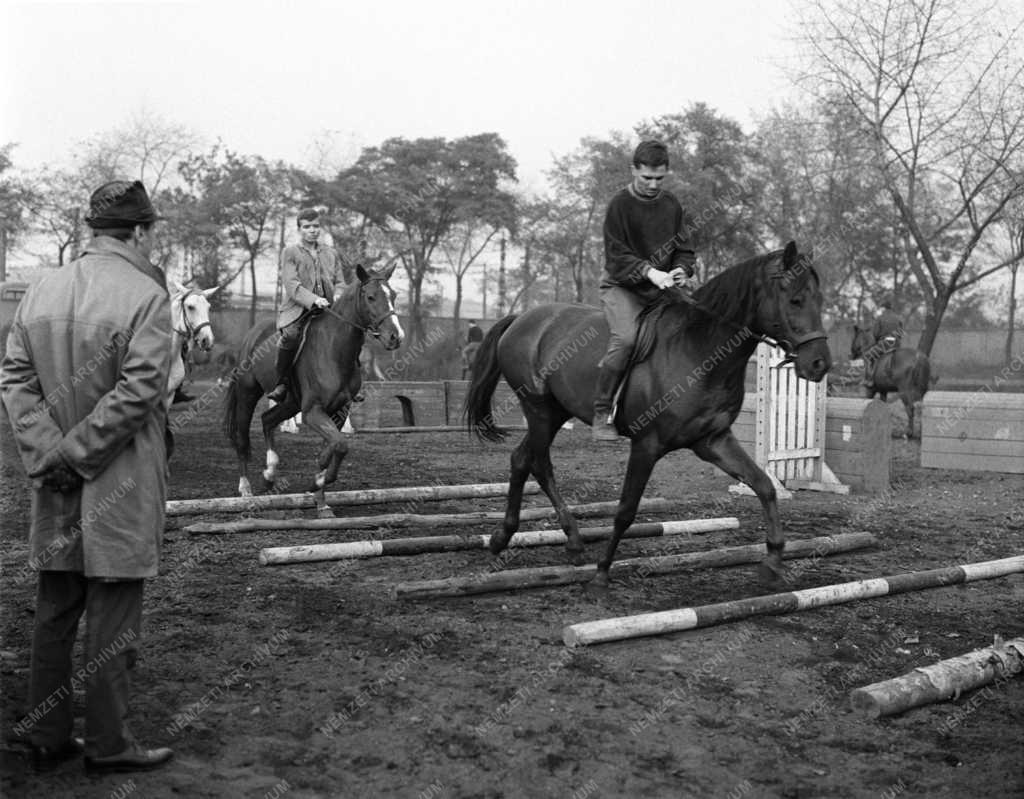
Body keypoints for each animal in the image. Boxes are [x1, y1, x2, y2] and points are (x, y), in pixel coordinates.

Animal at [224, 262, 403, 512]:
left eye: (393, 295)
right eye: (370, 297)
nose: (396, 337)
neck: (335, 350)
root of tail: (253, 333)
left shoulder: (339, 411)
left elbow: (331, 449)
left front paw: (320, 497)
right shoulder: (313, 411)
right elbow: (340, 445)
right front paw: (317, 484)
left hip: (291, 402)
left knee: (268, 420)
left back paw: (270, 474)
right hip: (247, 394)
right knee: (242, 436)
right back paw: (245, 489)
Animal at [464, 240, 831, 590]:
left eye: (820, 300)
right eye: (796, 300)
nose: (819, 364)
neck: (699, 349)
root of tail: (523, 318)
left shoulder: (712, 441)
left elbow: (764, 486)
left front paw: (773, 561)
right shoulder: (646, 445)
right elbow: (626, 510)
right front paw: (601, 575)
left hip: (554, 413)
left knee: (525, 459)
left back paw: (537, 539)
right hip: (539, 411)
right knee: (536, 462)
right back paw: (529, 537)